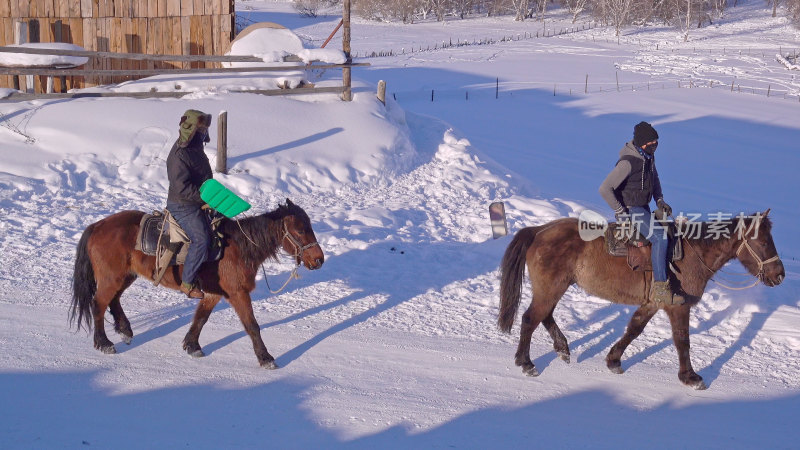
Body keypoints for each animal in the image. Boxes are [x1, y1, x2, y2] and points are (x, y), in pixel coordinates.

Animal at [69, 200, 324, 370]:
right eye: (300, 230)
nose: (319, 260)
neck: (239, 247)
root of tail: (98, 225)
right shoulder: (238, 293)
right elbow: (252, 326)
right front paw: (266, 358)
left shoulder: (213, 294)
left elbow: (200, 318)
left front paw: (192, 346)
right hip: (112, 277)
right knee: (99, 304)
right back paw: (104, 343)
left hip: (125, 276)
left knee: (114, 299)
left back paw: (125, 330)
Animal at [496, 209, 784, 388]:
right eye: (763, 243)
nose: (779, 274)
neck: (691, 255)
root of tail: (541, 229)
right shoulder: (678, 307)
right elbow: (682, 341)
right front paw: (690, 377)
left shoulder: (653, 303)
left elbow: (634, 329)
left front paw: (614, 360)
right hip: (550, 288)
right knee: (530, 318)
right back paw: (526, 362)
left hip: (555, 287)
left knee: (545, 316)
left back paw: (562, 348)